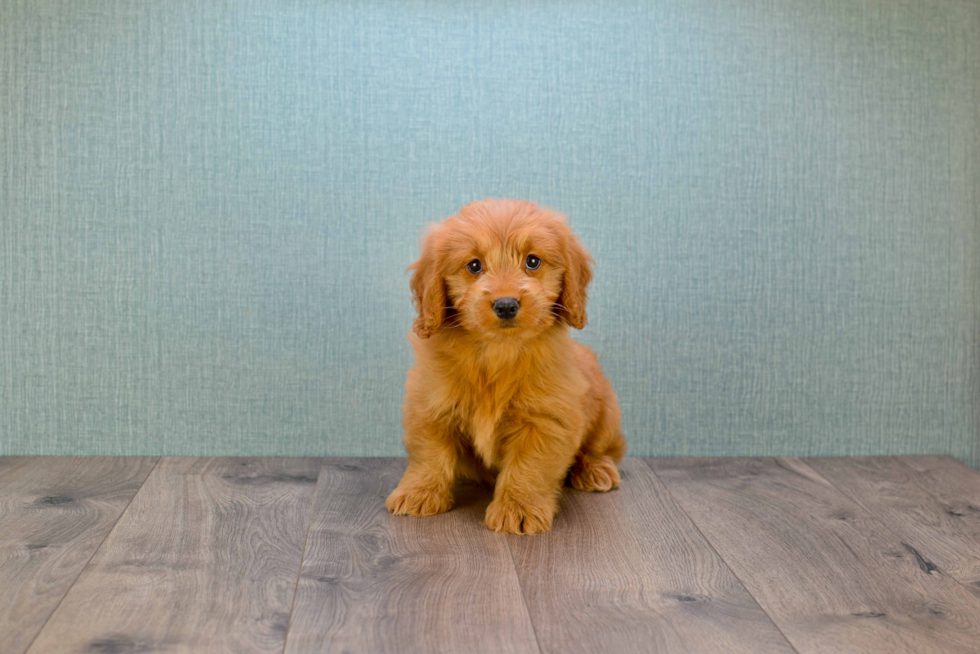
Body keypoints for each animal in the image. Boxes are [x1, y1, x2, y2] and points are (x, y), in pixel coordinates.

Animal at [386, 199, 624, 532]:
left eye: (533, 262)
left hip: (607, 414)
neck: (497, 351)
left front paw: (518, 509)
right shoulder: (429, 405)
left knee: (605, 449)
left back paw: (595, 470)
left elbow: (529, 466)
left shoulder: (546, 419)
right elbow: (429, 454)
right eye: (474, 266)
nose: (506, 305)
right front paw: (418, 493)